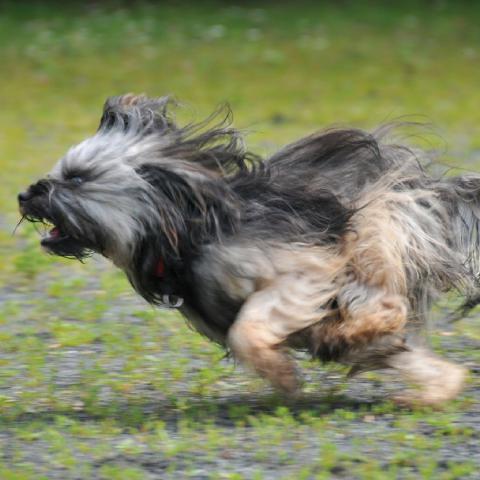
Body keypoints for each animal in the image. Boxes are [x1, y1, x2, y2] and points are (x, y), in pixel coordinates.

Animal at [16, 94, 478, 404]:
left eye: (76, 178)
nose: (23, 194)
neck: (184, 232)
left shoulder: (304, 270)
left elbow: (247, 329)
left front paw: (283, 374)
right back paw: (432, 384)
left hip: (374, 228)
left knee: (385, 303)